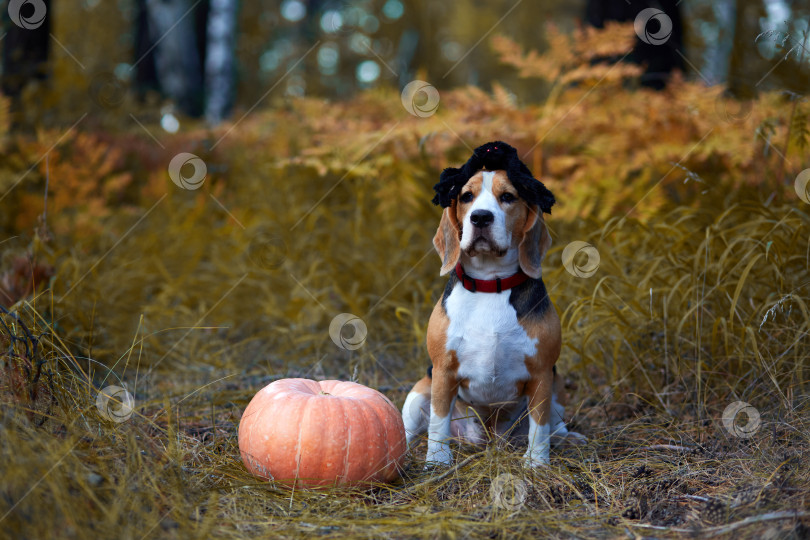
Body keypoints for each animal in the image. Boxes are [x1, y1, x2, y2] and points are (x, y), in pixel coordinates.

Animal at [402, 141, 580, 466]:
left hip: (557, 387)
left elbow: (539, 425)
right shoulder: (442, 372)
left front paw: (536, 463)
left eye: (508, 197)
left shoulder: (542, 374)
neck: (490, 285)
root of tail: (488, 440)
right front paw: (437, 461)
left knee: (554, 426)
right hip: (419, 391)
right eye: (466, 197)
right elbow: (438, 422)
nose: (481, 217)